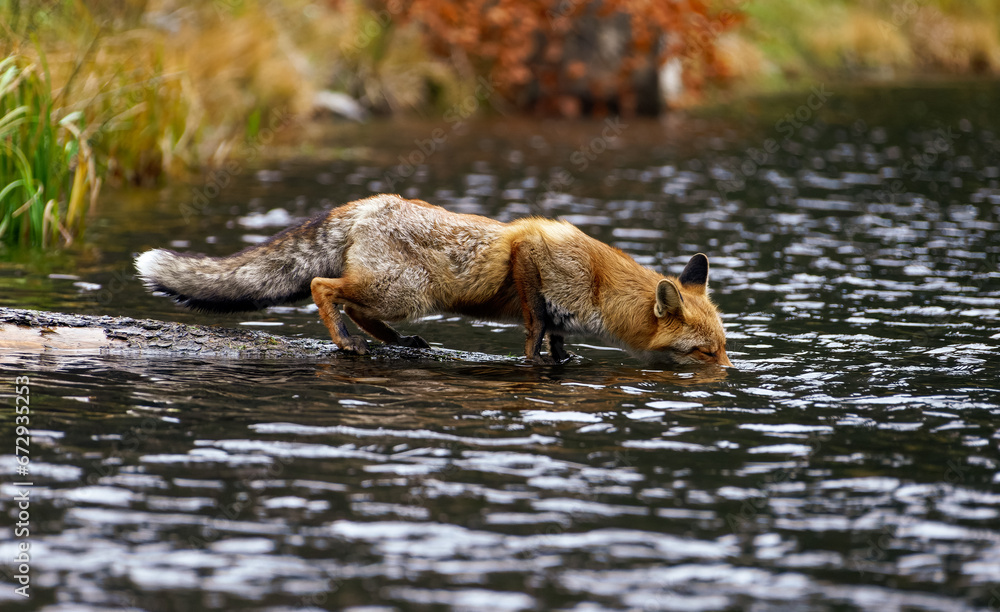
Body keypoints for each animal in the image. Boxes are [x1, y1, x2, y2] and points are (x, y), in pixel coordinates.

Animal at [135, 194, 732, 366]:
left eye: (724, 348)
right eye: (705, 353)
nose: (729, 379)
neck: (600, 286)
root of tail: (367, 204)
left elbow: (558, 338)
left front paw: (562, 362)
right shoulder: (529, 252)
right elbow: (535, 327)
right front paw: (534, 362)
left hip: (400, 297)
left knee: (357, 308)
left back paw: (399, 343)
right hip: (407, 292)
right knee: (325, 291)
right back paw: (346, 343)